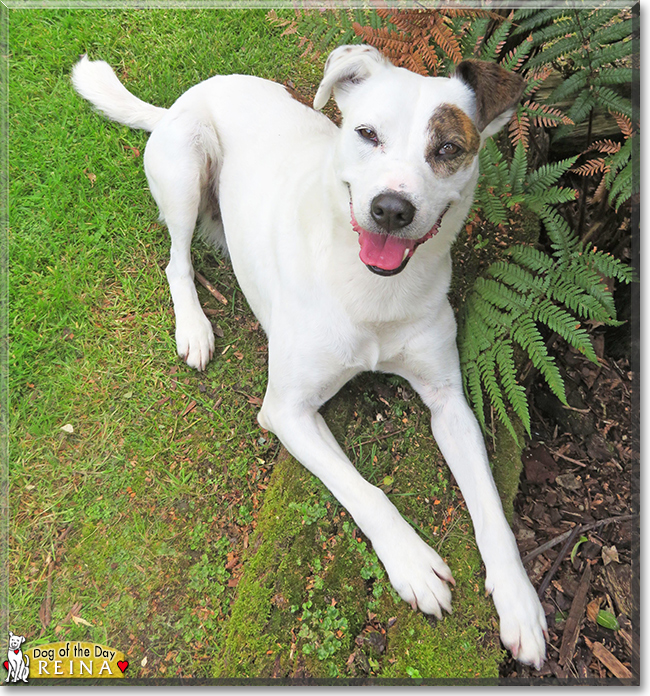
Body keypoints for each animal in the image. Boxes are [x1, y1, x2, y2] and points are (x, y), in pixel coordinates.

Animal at [71, 44, 548, 668]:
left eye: (447, 148)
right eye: (367, 133)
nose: (390, 208)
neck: (374, 290)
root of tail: (182, 99)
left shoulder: (449, 401)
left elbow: (492, 511)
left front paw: (519, 600)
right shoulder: (286, 411)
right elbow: (365, 492)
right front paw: (412, 564)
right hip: (185, 165)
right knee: (176, 259)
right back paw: (194, 325)